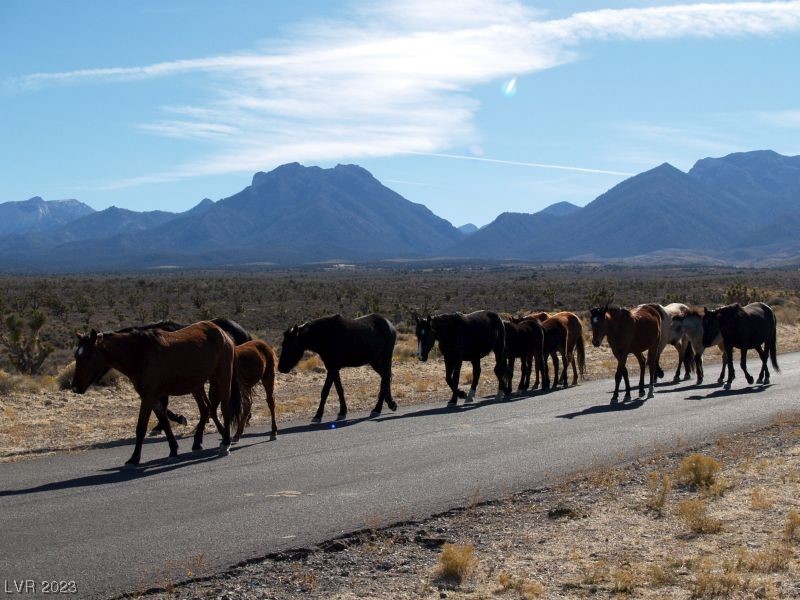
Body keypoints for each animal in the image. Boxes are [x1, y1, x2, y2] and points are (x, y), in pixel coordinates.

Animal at [71, 322, 241, 466]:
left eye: (88, 356)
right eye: (76, 356)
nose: (75, 387)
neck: (140, 353)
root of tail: (222, 332)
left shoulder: (148, 397)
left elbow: (141, 427)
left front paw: (134, 458)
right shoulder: (153, 397)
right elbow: (164, 422)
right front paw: (173, 450)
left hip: (222, 377)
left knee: (224, 408)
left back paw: (225, 443)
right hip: (196, 385)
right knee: (206, 408)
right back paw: (198, 442)